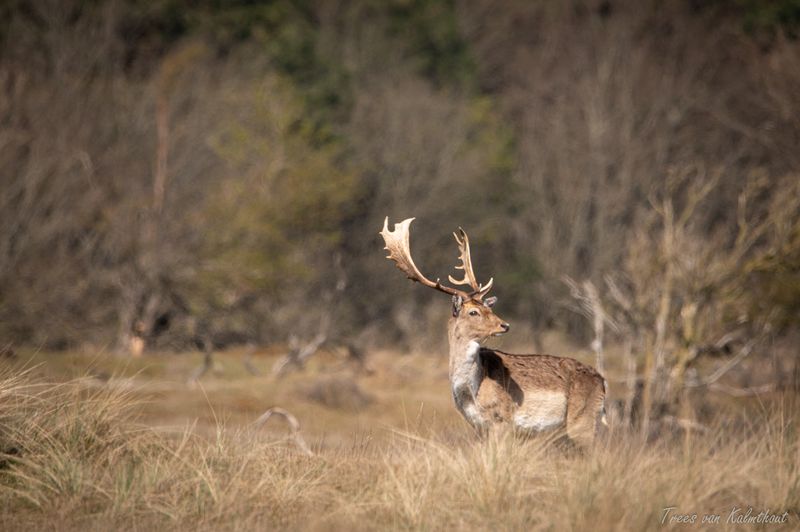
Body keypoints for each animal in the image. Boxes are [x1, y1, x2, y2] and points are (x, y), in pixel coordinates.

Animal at [380, 218, 608, 446]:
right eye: (473, 311)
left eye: (489, 308)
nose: (504, 325)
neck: (471, 392)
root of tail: (603, 383)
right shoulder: (478, 425)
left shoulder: (502, 420)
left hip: (582, 421)